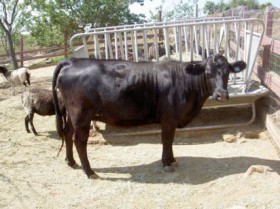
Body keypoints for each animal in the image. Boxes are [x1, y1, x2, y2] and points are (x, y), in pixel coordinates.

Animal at [52, 54, 245, 178]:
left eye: (227, 72)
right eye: (208, 73)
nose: (221, 95)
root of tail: (71, 61)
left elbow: (170, 141)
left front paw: (172, 160)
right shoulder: (169, 118)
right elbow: (167, 140)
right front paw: (167, 163)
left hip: (72, 114)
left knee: (67, 133)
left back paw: (71, 162)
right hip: (81, 114)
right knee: (79, 140)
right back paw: (90, 172)